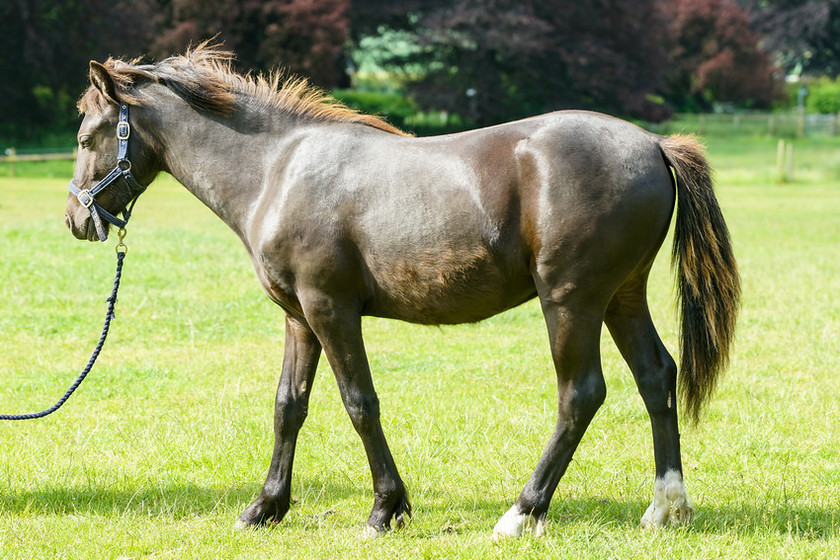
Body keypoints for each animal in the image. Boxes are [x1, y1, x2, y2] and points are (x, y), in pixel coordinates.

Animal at [62, 44, 740, 540]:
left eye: (86, 134)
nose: (75, 220)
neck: (277, 169)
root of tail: (652, 143)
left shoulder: (330, 309)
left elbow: (360, 403)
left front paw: (386, 508)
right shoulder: (298, 318)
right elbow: (289, 406)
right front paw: (265, 507)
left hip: (571, 302)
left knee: (581, 394)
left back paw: (523, 512)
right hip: (621, 297)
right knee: (657, 376)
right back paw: (668, 506)